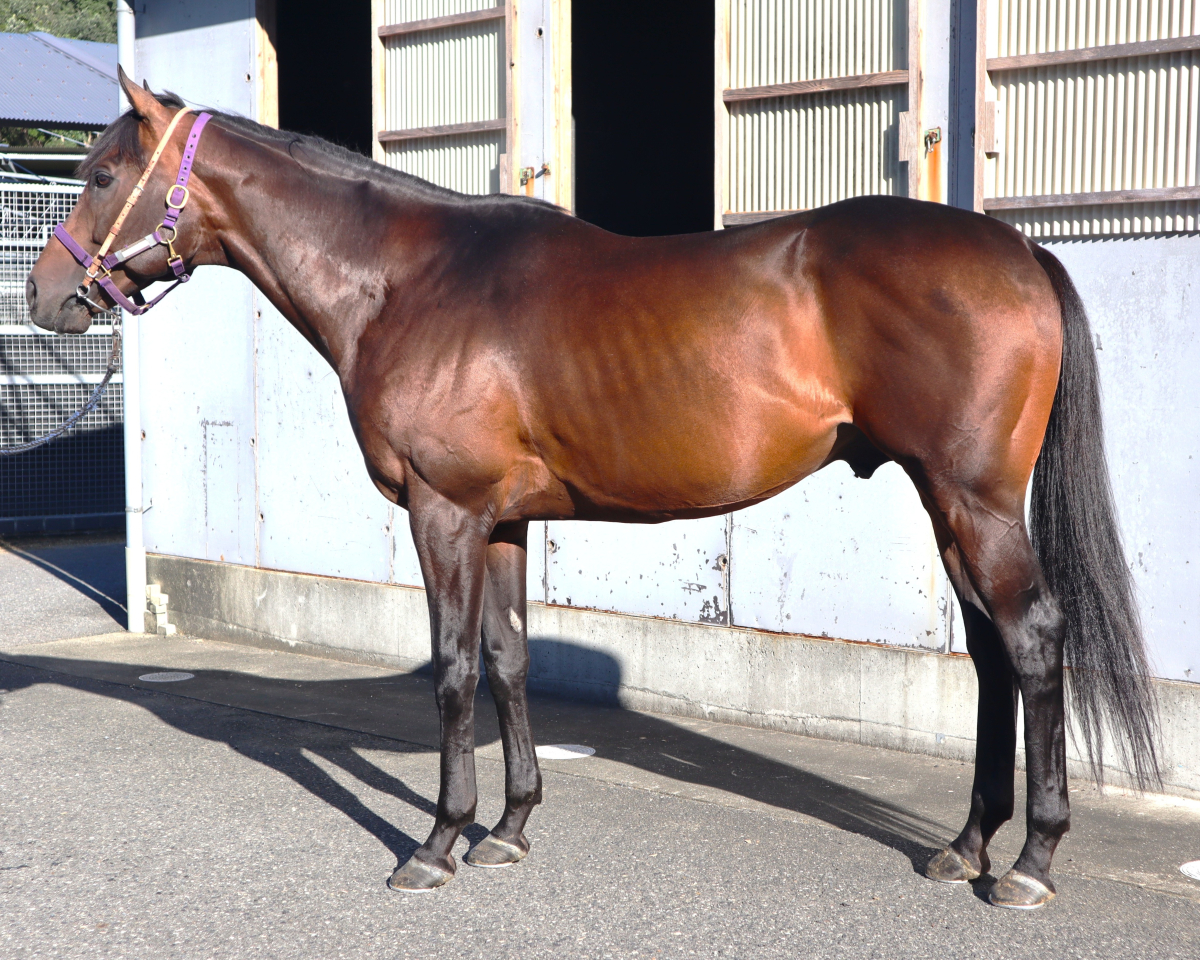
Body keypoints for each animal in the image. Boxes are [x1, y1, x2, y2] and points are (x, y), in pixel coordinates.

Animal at [26, 70, 1159, 909]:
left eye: (104, 172)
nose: (48, 297)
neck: (405, 281)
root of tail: (1018, 249)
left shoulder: (444, 512)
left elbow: (451, 671)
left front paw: (436, 843)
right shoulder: (499, 523)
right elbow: (509, 662)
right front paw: (510, 829)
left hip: (973, 500)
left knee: (1033, 641)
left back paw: (1030, 864)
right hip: (946, 502)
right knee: (992, 656)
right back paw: (966, 845)